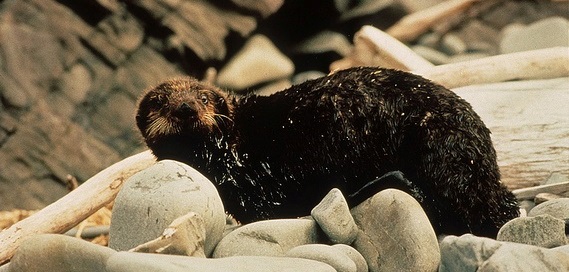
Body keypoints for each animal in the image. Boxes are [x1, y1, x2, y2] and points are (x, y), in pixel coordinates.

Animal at [135, 66, 516, 238]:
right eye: (160, 101)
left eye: (202, 97)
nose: (185, 107)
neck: (231, 148)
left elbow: (267, 209)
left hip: (440, 150)